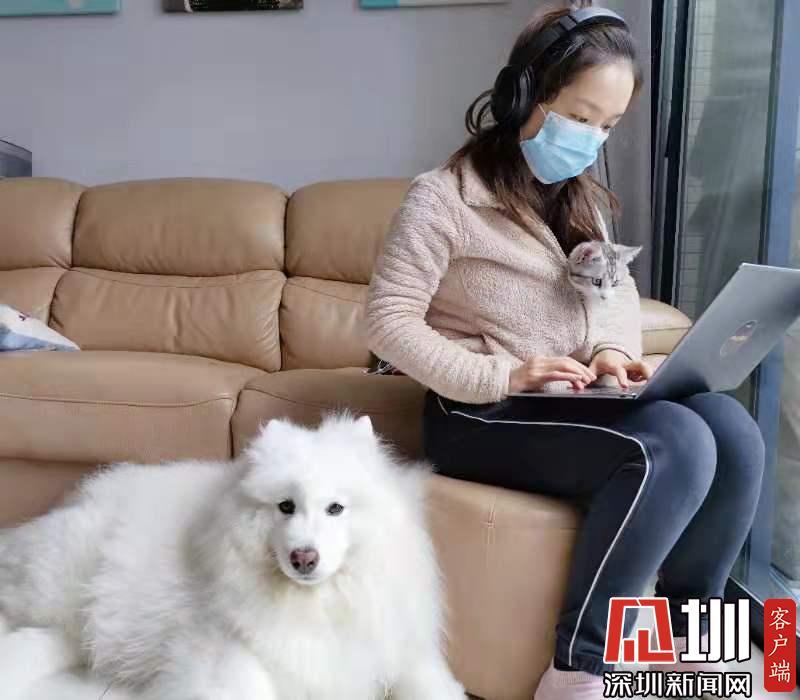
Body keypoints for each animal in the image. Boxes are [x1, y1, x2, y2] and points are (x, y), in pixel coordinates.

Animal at [0, 413, 465, 700]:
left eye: (335, 508)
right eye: (285, 507)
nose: (303, 558)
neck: (316, 607)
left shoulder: (397, 649)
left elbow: (435, 687)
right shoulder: (227, 653)